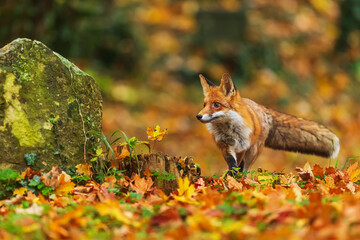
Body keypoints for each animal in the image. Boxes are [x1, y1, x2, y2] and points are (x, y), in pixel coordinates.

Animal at [197, 73, 340, 172]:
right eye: (204, 104)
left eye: (216, 105)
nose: (198, 116)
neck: (229, 131)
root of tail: (260, 107)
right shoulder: (224, 146)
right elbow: (232, 163)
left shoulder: (243, 147)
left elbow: (238, 166)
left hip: (253, 151)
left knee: (246, 169)